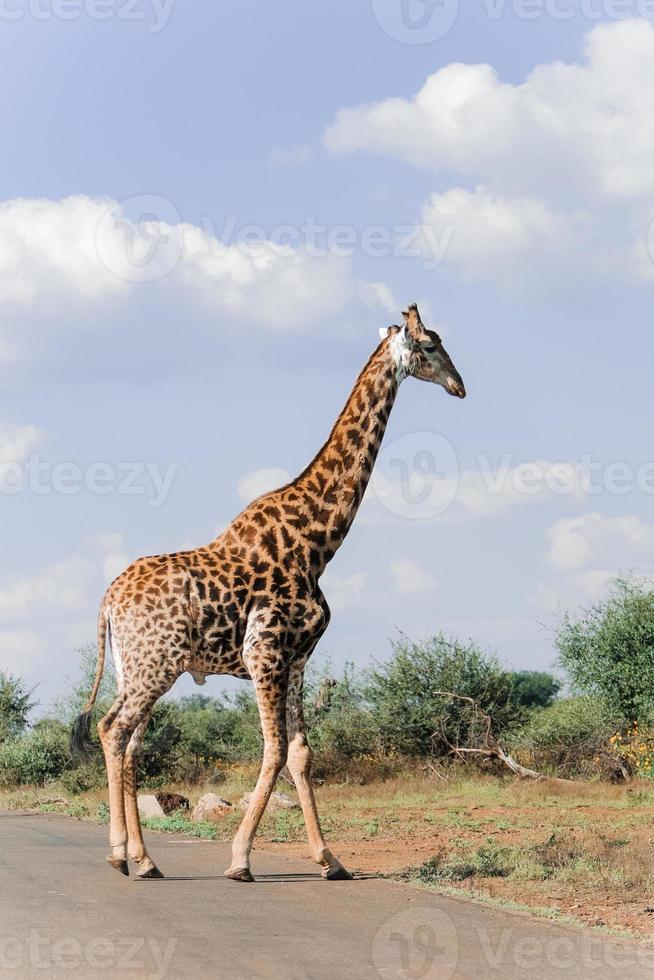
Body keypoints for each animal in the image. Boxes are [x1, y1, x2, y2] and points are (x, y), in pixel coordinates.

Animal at [73, 304, 466, 880]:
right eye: (433, 346)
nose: (460, 386)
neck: (319, 543)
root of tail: (107, 601)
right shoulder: (266, 652)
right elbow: (274, 750)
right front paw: (240, 859)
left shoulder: (299, 658)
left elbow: (301, 752)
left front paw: (331, 859)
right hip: (156, 665)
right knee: (115, 731)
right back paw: (134, 858)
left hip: (136, 666)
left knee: (125, 738)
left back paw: (132, 855)